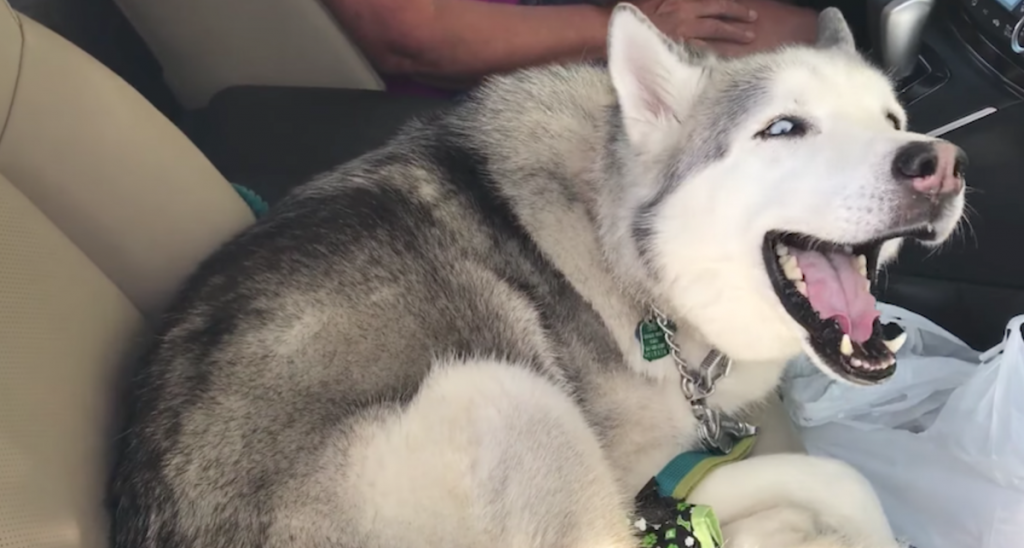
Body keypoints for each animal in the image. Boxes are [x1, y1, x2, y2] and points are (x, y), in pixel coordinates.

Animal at [112, 5, 966, 548]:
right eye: (784, 128)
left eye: (892, 120)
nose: (940, 165)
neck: (634, 261)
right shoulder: (630, 474)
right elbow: (831, 481)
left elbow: (835, 482)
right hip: (502, 396)